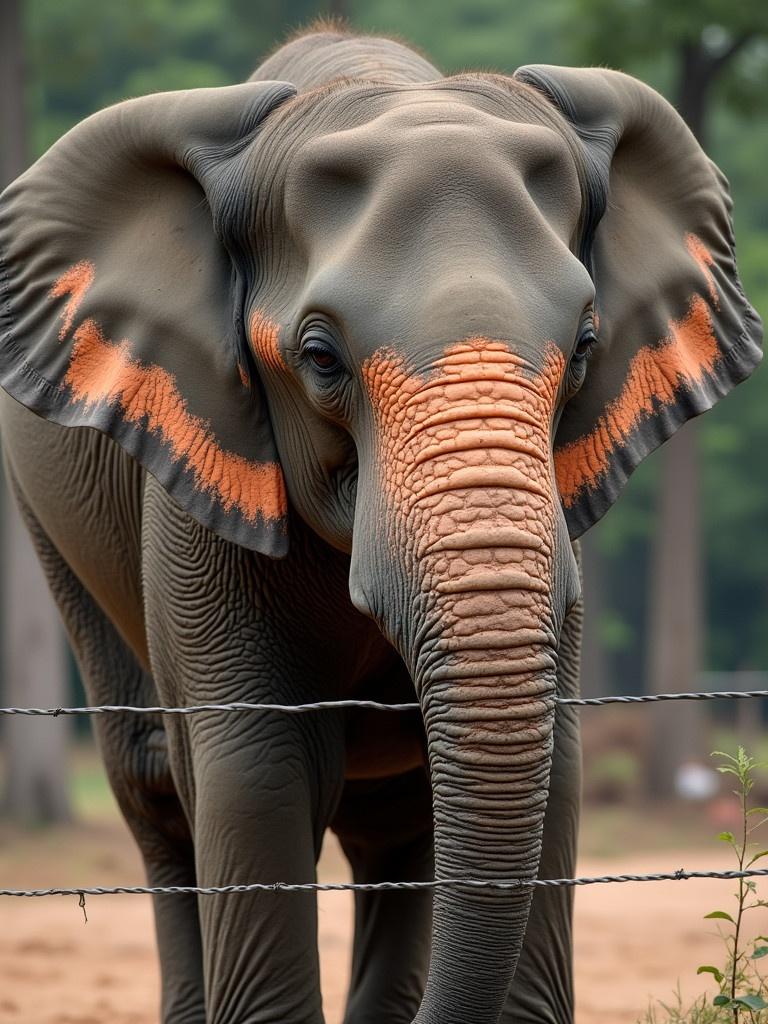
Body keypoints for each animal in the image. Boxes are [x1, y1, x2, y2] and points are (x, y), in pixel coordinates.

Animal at [0, 22, 761, 1024]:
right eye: (320, 358)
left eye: (587, 345)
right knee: (157, 793)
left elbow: (553, 766)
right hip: (52, 532)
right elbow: (256, 775)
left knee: (392, 824)